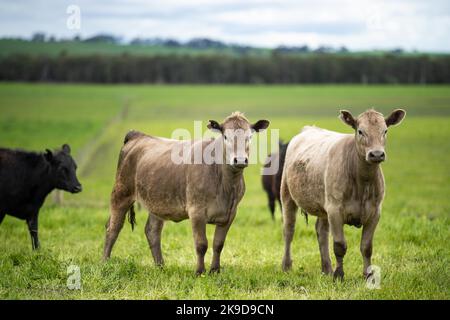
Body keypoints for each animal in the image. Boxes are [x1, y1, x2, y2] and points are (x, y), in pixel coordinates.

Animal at [103, 112, 268, 276]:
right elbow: (201, 244)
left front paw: (215, 270)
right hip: (121, 192)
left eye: (250, 136)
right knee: (113, 228)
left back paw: (160, 266)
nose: (239, 160)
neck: (225, 185)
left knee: (152, 231)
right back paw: (105, 263)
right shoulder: (196, 211)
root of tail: (138, 135)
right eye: (225, 136)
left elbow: (218, 244)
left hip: (156, 201)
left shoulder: (230, 213)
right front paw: (200, 272)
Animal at [282, 109, 404, 278]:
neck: (362, 183)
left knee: (322, 232)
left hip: (323, 205)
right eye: (360, 131)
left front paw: (368, 275)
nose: (377, 154)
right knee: (289, 229)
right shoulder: (335, 210)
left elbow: (366, 247)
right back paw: (286, 266)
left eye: (385, 131)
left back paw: (326, 269)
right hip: (287, 194)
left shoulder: (375, 212)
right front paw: (339, 275)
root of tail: (308, 129)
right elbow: (340, 245)